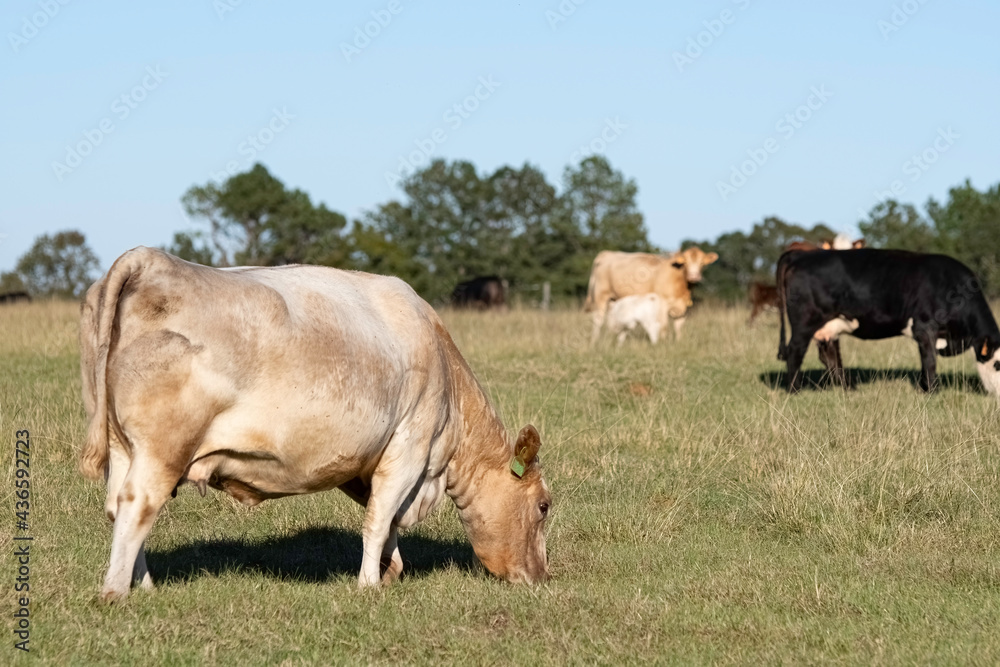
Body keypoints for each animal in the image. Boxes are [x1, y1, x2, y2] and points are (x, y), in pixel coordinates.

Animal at [78, 248, 552, 604]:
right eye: (544, 506)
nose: (542, 578)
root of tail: (151, 258)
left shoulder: (369, 463)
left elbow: (388, 522)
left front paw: (392, 571)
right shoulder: (409, 447)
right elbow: (378, 521)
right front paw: (369, 585)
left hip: (122, 445)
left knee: (118, 507)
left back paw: (145, 585)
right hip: (163, 447)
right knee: (138, 506)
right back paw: (117, 591)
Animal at [584, 248, 720, 348]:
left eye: (702, 263)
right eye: (685, 263)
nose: (694, 276)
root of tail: (606, 253)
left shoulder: (683, 307)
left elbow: (678, 327)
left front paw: (678, 343)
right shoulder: (663, 304)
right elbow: (664, 327)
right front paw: (663, 344)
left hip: (614, 300)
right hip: (601, 295)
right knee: (598, 319)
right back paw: (594, 342)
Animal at [776, 250, 1000, 396]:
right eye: (998, 365)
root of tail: (801, 254)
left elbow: (925, 360)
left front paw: (924, 387)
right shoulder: (924, 326)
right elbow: (930, 360)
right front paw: (933, 391)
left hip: (830, 325)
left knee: (830, 356)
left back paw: (850, 388)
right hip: (805, 322)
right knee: (795, 351)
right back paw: (794, 390)